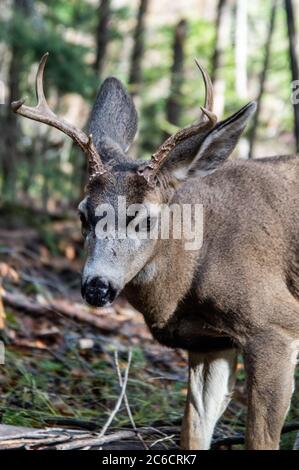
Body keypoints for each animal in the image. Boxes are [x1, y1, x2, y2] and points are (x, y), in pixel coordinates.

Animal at [12, 53, 299, 450]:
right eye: (83, 214)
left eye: (146, 218)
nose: (97, 287)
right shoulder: (210, 342)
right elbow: (193, 431)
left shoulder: (274, 325)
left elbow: (260, 439)